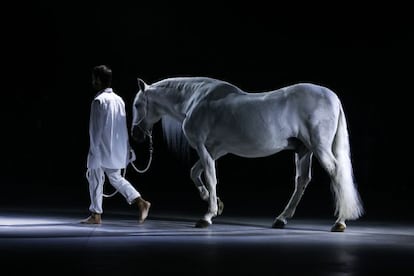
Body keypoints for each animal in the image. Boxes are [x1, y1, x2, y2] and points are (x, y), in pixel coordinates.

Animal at [131, 75, 364, 231]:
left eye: (137, 104)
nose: (136, 135)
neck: (195, 100)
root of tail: (332, 97)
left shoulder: (203, 148)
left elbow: (210, 177)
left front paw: (207, 216)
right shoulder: (216, 150)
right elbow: (195, 173)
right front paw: (215, 203)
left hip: (319, 148)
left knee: (336, 173)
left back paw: (340, 221)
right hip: (304, 151)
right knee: (302, 181)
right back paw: (281, 219)